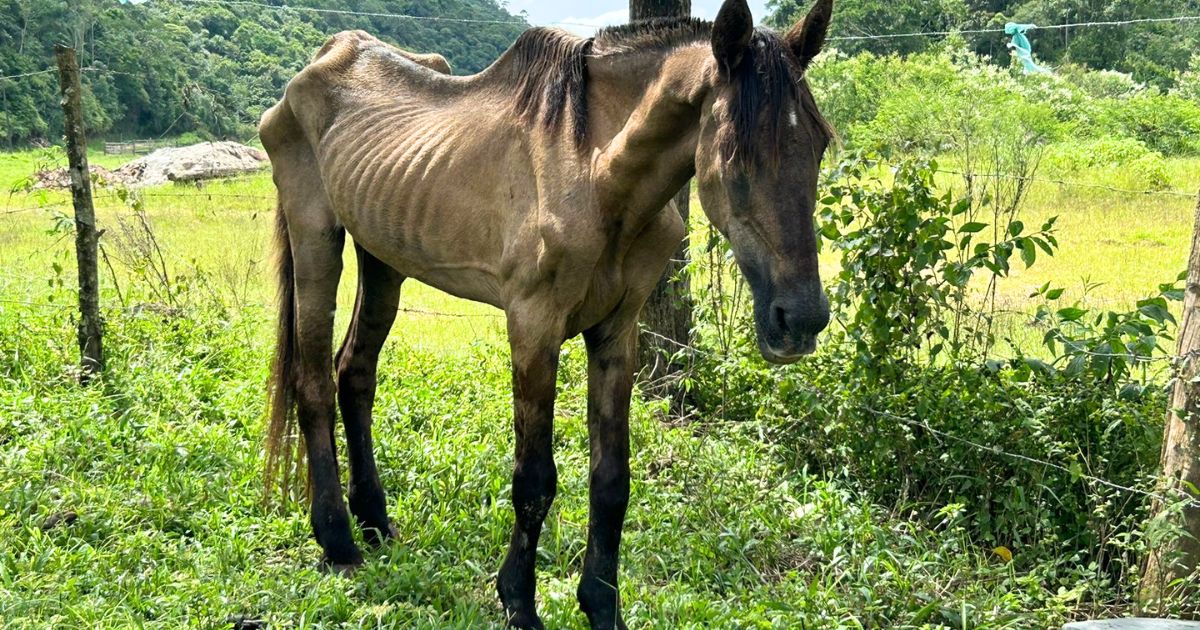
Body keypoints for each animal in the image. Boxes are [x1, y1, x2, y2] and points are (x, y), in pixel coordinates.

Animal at [258, 0, 835, 627]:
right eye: (734, 155)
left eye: (820, 144)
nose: (801, 320)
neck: (595, 173)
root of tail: (326, 58)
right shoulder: (534, 329)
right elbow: (534, 481)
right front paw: (518, 600)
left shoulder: (616, 334)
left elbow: (611, 479)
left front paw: (600, 605)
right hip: (316, 238)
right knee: (314, 382)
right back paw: (337, 539)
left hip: (383, 259)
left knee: (355, 374)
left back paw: (374, 521)